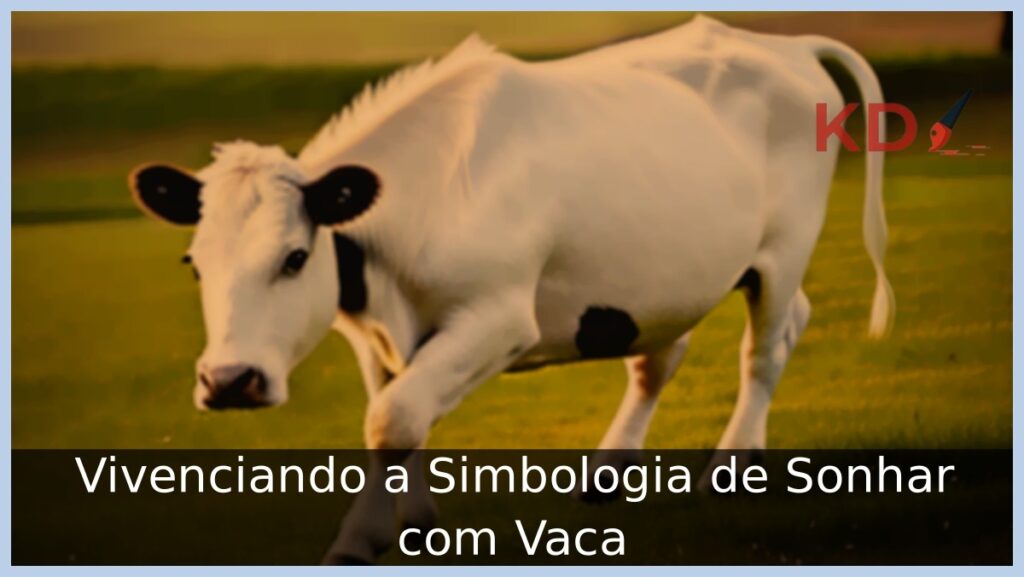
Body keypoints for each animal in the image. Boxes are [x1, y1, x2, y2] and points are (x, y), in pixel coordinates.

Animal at [129, 15, 894, 563]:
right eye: (195, 263)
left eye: (293, 258)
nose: (229, 380)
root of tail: (782, 43)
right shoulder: (371, 333)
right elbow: (394, 409)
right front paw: (405, 521)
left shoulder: (498, 317)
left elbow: (393, 416)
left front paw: (360, 539)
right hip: (662, 272)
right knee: (681, 351)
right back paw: (613, 471)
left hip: (786, 245)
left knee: (763, 347)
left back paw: (730, 465)